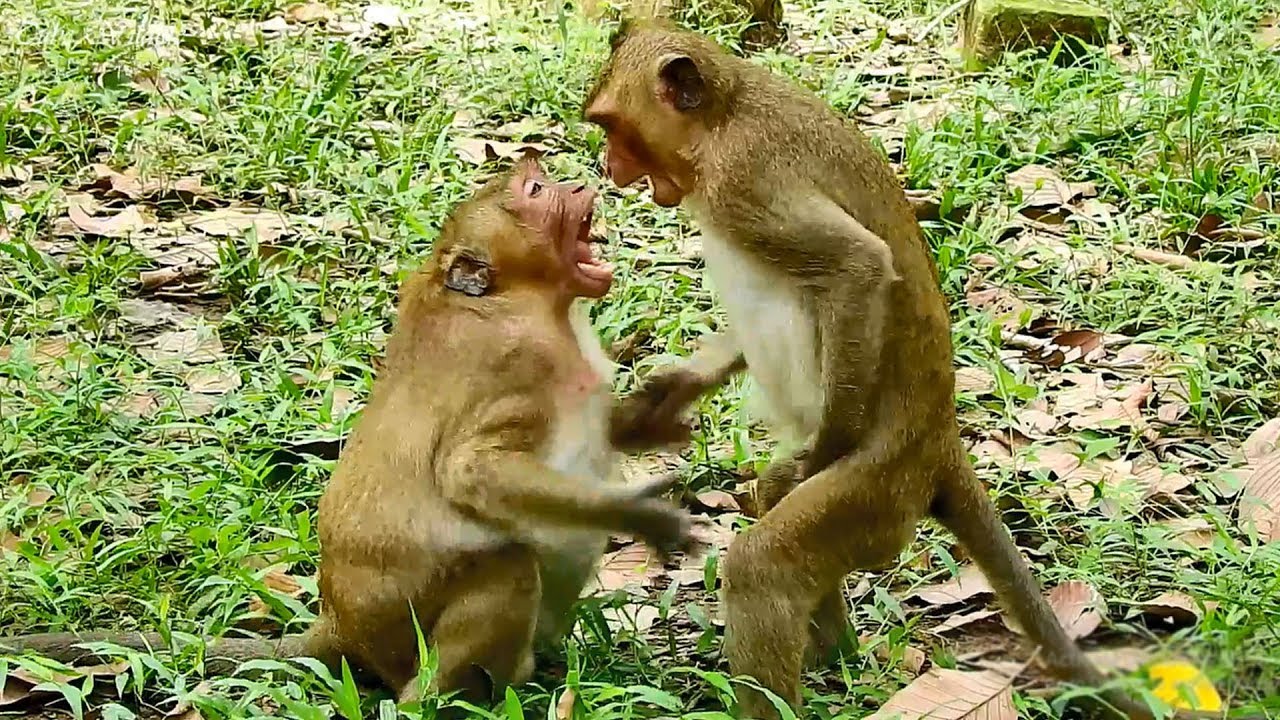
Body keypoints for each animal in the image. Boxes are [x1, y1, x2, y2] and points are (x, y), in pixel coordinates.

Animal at [0, 156, 703, 710]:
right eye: (535, 191)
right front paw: (646, 516)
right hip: (400, 629)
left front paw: (658, 419)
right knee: (506, 568)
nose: (580, 181)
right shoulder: (517, 363)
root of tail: (338, 623)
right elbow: (470, 470)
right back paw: (439, 700)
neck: (526, 301)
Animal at [582, 19, 1243, 720]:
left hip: (880, 490)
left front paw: (821, 455)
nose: (609, 168)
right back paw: (835, 648)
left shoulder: (747, 180)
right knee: (775, 503)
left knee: (768, 562)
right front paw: (672, 391)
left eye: (615, 130)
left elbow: (860, 266)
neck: (722, 118)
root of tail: (940, 441)